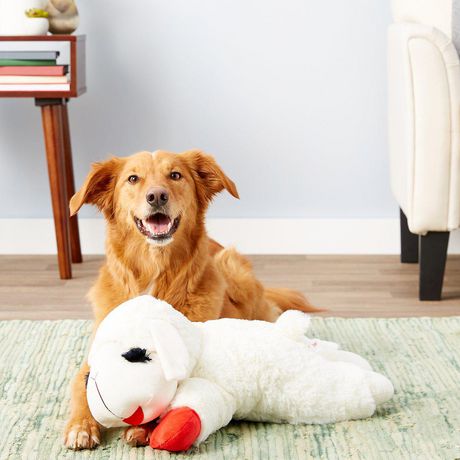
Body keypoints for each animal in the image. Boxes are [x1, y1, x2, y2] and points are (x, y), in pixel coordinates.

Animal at [63, 150, 316, 450]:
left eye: (175, 175)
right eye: (133, 178)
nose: (156, 196)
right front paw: (80, 426)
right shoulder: (92, 357)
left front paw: (143, 428)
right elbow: (81, 386)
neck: (156, 271)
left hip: (232, 266)